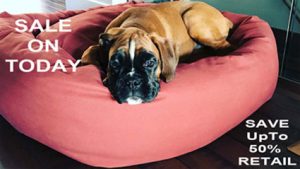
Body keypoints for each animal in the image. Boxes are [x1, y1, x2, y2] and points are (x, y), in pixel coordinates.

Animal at [81, 1, 233, 104]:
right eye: (115, 63)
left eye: (150, 62)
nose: (132, 81)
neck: (135, 25)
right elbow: (88, 52)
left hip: (192, 18)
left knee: (225, 46)